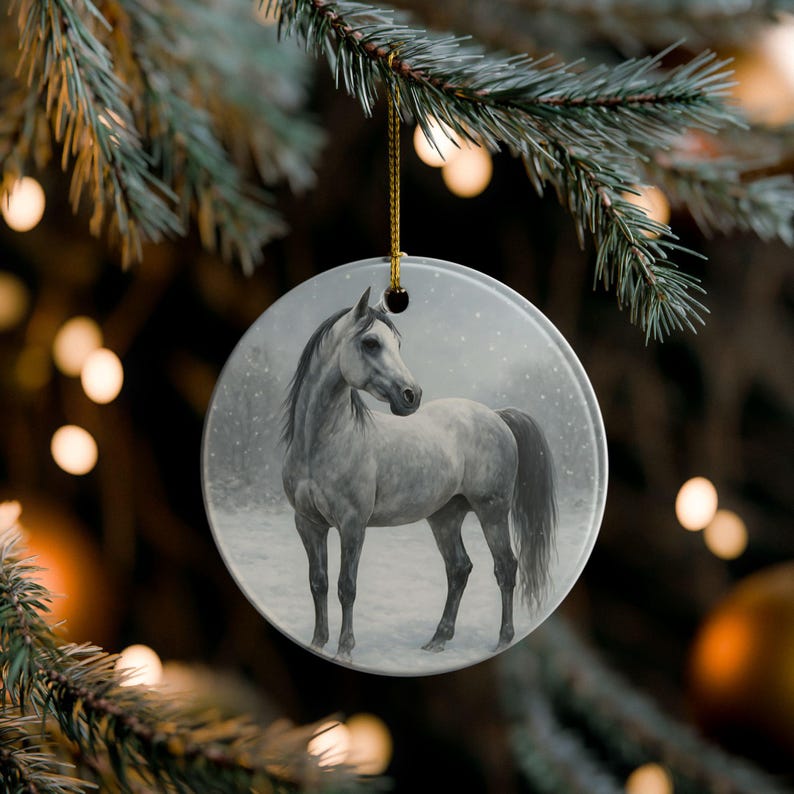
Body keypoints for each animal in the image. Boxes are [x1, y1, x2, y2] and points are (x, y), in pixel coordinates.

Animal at [281, 287, 557, 661]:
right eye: (370, 343)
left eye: (397, 345)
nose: (411, 396)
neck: (324, 442)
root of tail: (497, 416)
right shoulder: (308, 524)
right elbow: (318, 583)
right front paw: (317, 642)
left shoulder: (352, 525)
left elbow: (346, 587)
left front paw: (345, 650)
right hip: (445, 517)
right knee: (459, 569)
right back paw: (438, 639)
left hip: (492, 512)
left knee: (505, 568)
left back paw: (502, 639)